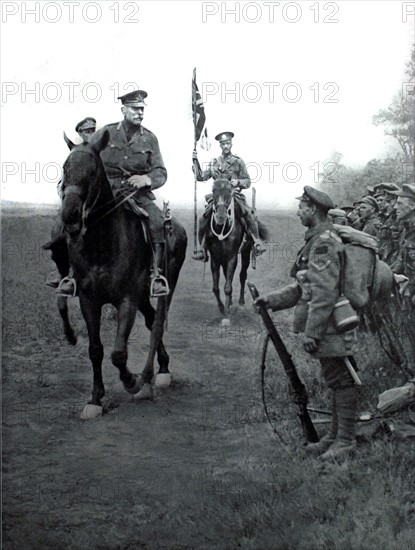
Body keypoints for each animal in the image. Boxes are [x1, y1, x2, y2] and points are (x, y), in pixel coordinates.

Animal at [60, 132, 187, 416]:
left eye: (93, 171)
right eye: (64, 168)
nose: (70, 216)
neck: (102, 242)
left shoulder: (127, 300)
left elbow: (118, 353)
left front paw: (132, 380)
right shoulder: (89, 301)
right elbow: (95, 349)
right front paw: (95, 399)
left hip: (164, 285)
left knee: (157, 323)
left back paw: (155, 374)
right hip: (142, 296)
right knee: (151, 320)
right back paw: (159, 368)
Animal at [206, 179, 270, 322]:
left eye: (230, 191)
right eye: (213, 191)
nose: (220, 217)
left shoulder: (232, 257)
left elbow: (228, 287)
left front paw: (227, 316)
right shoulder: (215, 258)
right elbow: (215, 287)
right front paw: (222, 308)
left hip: (246, 252)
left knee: (242, 275)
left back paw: (240, 303)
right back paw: (229, 302)